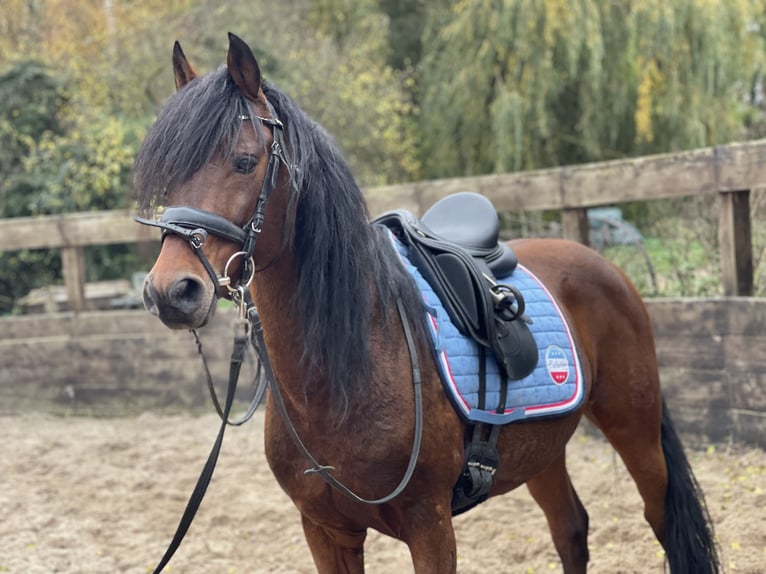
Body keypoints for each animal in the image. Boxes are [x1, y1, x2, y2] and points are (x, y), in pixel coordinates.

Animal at [136, 33, 720, 572]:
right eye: (168, 174)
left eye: (244, 161)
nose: (171, 291)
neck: (345, 372)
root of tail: (602, 264)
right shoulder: (325, 531)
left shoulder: (430, 525)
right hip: (542, 447)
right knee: (571, 530)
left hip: (634, 430)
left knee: (662, 521)